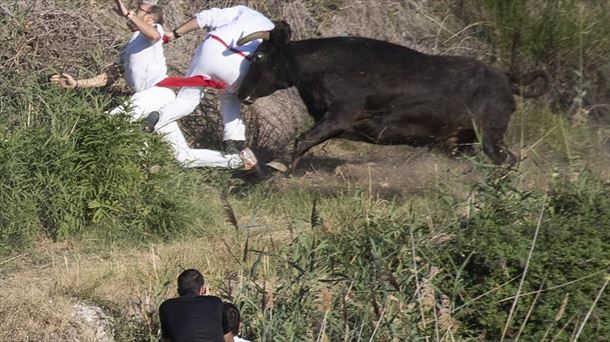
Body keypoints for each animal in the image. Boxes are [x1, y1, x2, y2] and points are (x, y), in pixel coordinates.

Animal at [235, 21, 544, 171]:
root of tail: (505, 77)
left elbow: (303, 139)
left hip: (490, 135)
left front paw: (281, 166)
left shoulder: (341, 114)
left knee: (508, 160)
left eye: (258, 56)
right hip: (464, 141)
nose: (241, 92)